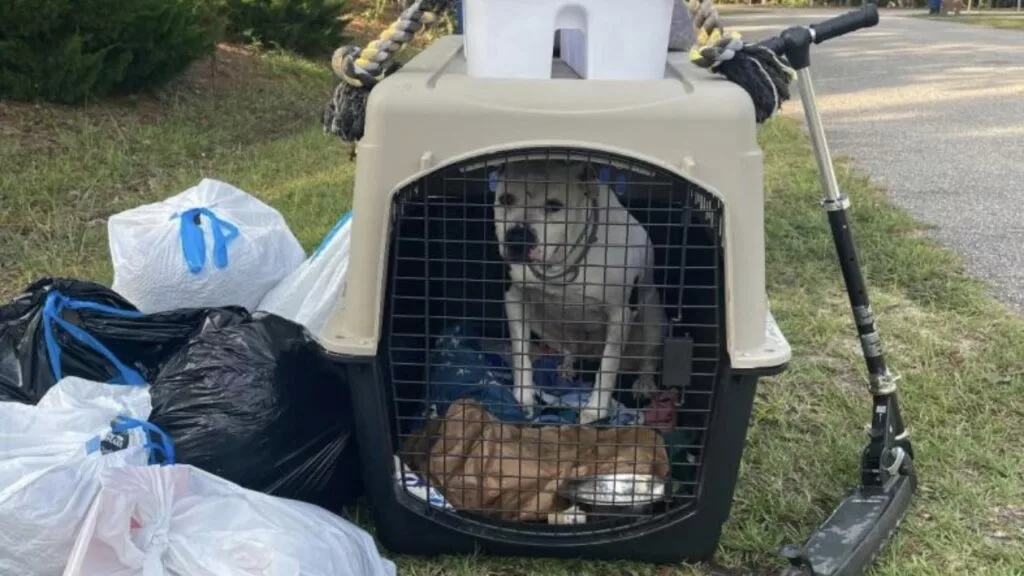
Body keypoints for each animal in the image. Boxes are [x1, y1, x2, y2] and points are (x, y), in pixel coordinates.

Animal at [491, 158, 667, 424]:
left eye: (554, 206)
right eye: (506, 199)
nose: (517, 236)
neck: (562, 261)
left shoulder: (620, 314)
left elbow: (608, 365)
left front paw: (595, 410)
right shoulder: (515, 297)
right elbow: (520, 351)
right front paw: (524, 396)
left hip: (653, 318)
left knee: (648, 357)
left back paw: (644, 382)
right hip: (542, 325)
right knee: (569, 348)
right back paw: (567, 366)